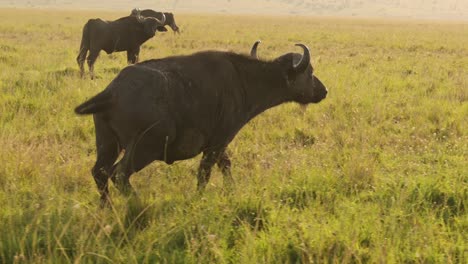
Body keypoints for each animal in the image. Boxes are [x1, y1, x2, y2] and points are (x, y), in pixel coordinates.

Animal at [75, 41, 328, 206]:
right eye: (310, 72)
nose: (323, 90)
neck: (243, 79)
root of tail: (113, 91)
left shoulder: (219, 144)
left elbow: (225, 166)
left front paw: (231, 191)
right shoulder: (218, 141)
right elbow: (204, 173)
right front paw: (199, 197)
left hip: (107, 143)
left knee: (99, 172)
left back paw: (107, 207)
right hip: (145, 147)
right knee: (119, 174)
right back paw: (138, 205)